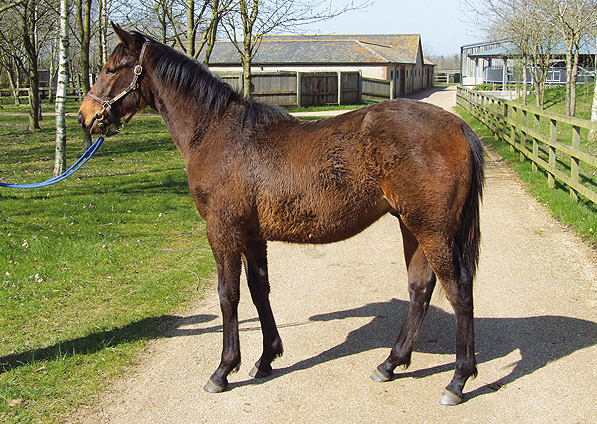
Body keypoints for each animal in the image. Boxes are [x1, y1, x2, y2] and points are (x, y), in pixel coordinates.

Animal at [79, 24, 482, 406]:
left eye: (110, 68)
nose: (86, 116)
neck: (216, 133)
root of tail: (458, 126)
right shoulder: (252, 235)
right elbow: (259, 292)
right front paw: (266, 359)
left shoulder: (223, 231)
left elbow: (228, 295)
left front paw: (224, 369)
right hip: (413, 227)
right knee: (420, 289)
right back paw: (390, 364)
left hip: (432, 231)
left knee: (459, 290)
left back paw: (458, 381)